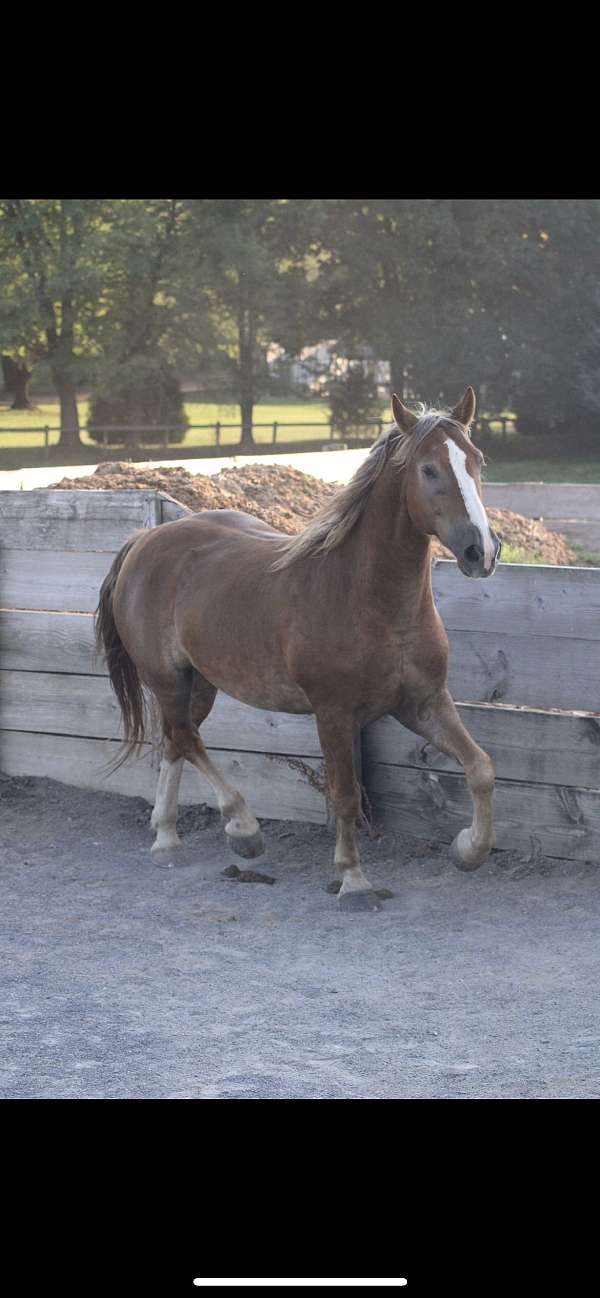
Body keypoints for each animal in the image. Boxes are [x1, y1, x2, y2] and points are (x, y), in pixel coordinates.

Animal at [96, 389, 501, 908]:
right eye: (428, 469)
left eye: (476, 460)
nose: (481, 552)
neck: (369, 599)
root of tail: (145, 540)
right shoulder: (333, 713)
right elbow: (345, 793)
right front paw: (353, 879)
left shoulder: (424, 704)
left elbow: (481, 768)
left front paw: (468, 849)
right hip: (166, 680)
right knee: (187, 739)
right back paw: (243, 829)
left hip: (199, 683)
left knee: (176, 740)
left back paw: (167, 838)